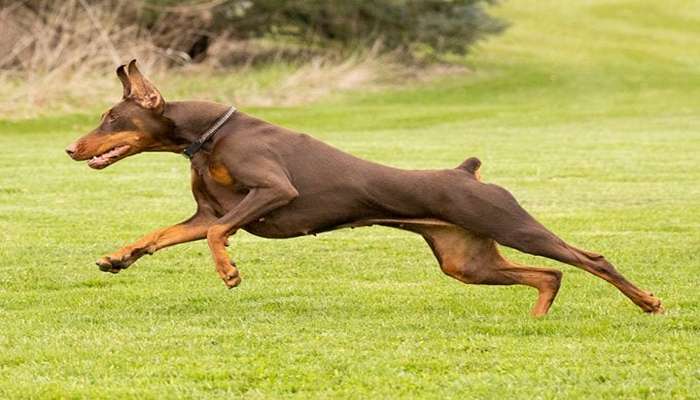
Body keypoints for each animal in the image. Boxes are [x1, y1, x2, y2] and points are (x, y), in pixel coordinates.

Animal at [64, 60, 660, 316]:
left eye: (110, 117)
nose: (70, 149)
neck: (208, 136)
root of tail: (467, 172)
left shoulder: (272, 191)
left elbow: (218, 237)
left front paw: (230, 271)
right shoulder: (206, 213)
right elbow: (160, 234)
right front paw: (118, 257)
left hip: (511, 224)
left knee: (589, 259)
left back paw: (648, 301)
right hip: (464, 260)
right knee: (550, 275)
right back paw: (537, 319)